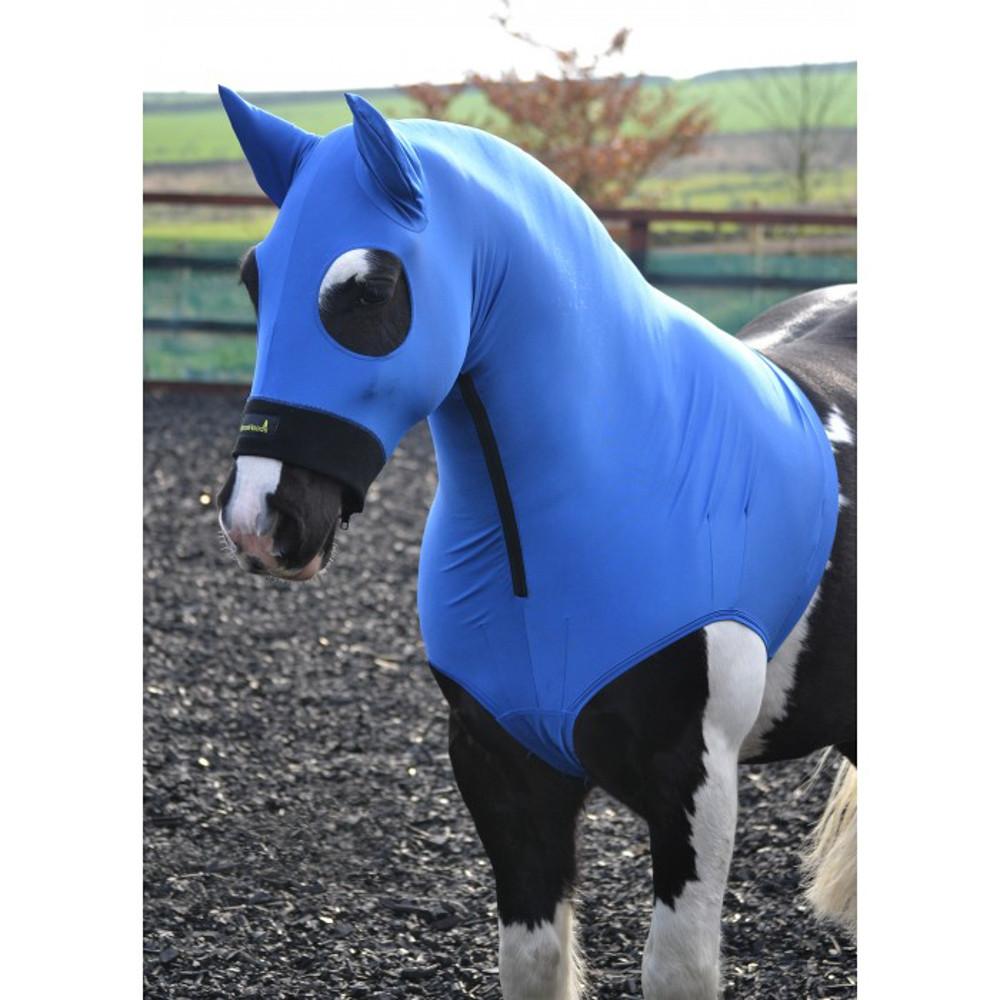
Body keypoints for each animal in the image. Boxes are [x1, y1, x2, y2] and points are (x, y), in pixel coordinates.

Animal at [213, 87, 856, 1000]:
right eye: (253, 279)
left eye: (369, 291)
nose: (259, 518)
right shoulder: (505, 771)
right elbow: (533, 961)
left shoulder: (694, 785)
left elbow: (676, 968)